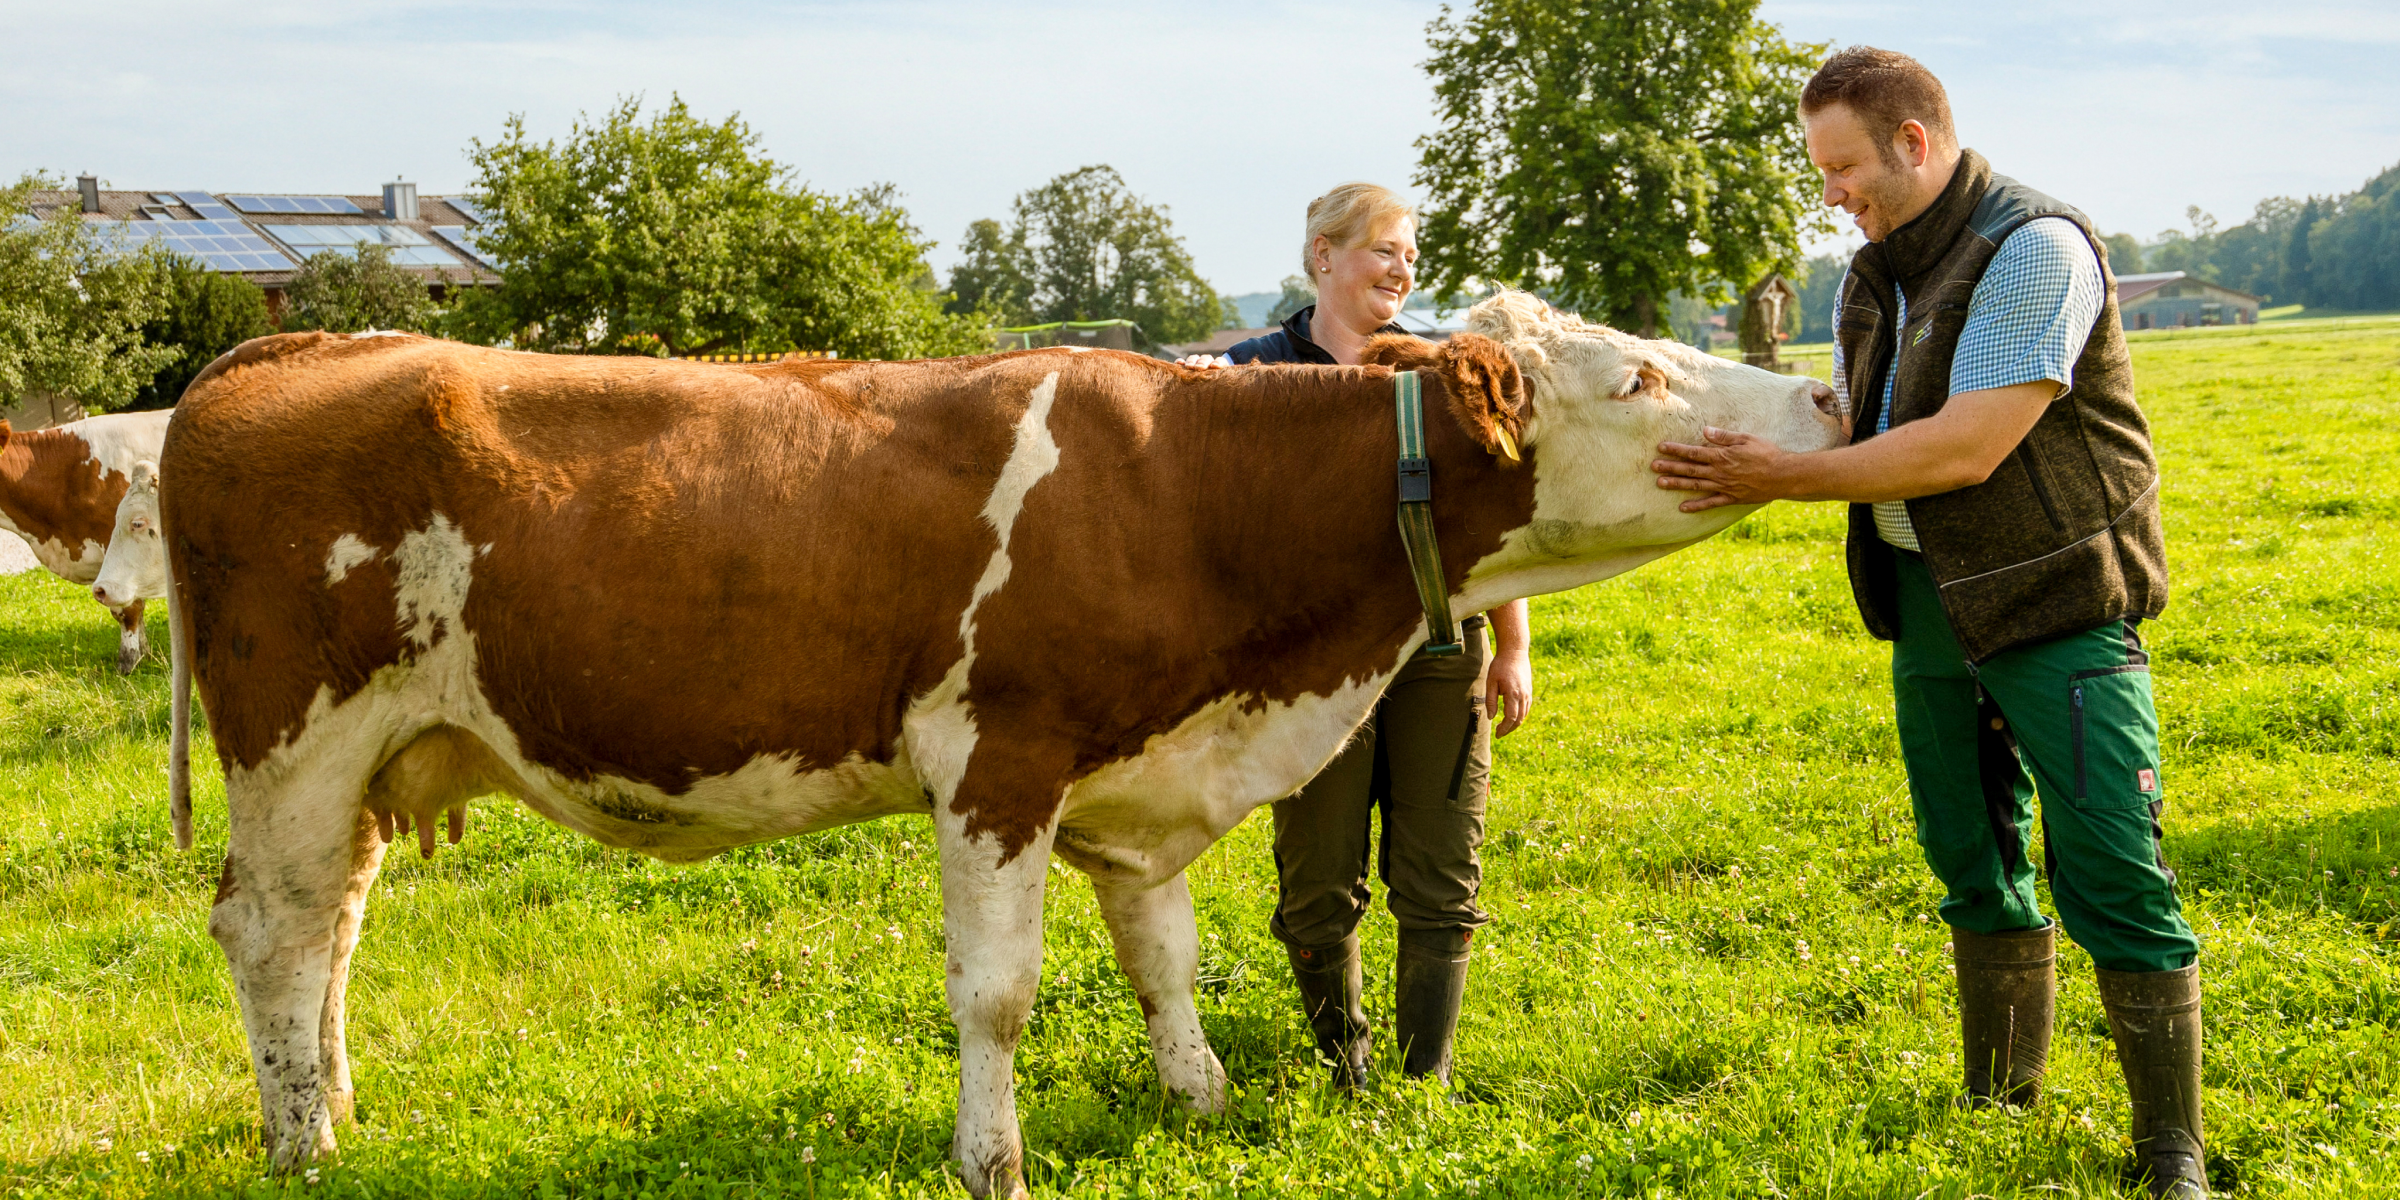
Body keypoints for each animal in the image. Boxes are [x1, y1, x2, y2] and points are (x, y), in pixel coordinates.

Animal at [156, 292, 1844, 1197]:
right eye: (1640, 374)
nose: (1829, 400)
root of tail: (295, 348)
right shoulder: (998, 761)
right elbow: (999, 996)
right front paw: (995, 1159)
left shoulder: (1136, 777)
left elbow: (1163, 954)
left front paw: (1199, 1101)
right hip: (293, 742)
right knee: (269, 928)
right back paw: (302, 1145)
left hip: (380, 756)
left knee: (333, 926)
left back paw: (335, 1102)